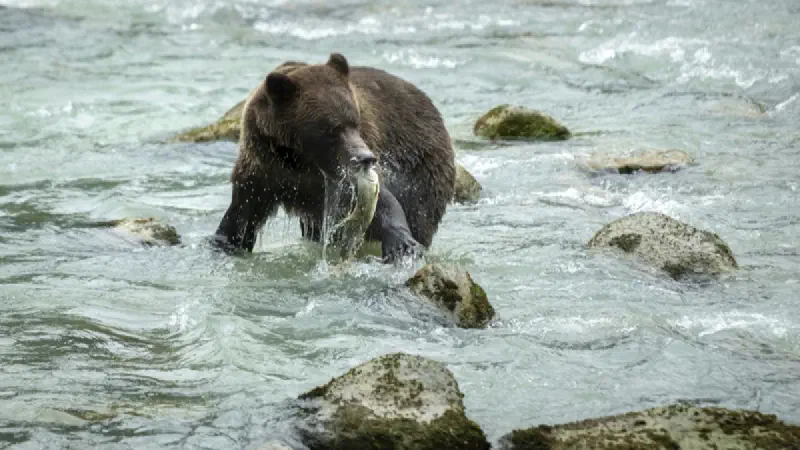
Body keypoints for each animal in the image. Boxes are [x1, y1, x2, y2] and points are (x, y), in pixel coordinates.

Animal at [212, 53, 455, 262]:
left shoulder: (344, 176)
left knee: (419, 212)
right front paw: (224, 241)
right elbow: (242, 215)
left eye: (355, 121)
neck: (301, 160)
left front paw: (403, 244)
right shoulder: (263, 169)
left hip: (422, 169)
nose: (366, 158)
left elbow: (382, 202)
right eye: (331, 128)